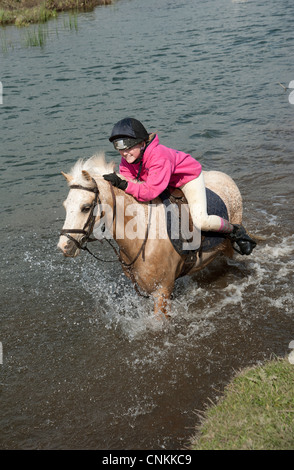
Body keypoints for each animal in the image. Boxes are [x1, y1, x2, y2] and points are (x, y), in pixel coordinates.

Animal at [56, 153, 241, 316]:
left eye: (86, 207)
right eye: (65, 206)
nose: (64, 246)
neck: (141, 235)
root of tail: (227, 178)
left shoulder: (162, 291)